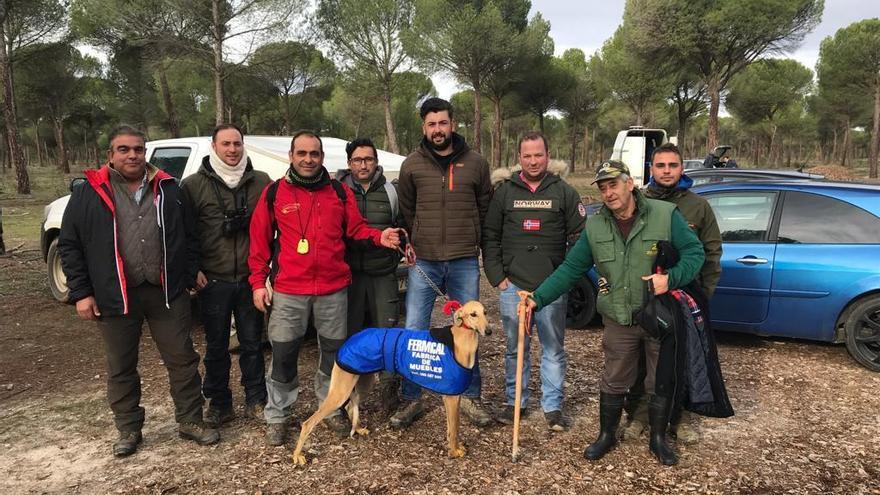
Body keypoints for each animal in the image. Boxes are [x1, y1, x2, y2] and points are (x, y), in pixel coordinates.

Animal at [292, 300, 492, 466]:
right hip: (340, 391)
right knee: (308, 423)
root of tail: (349, 340)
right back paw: (297, 456)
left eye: (485, 312)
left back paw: (358, 429)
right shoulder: (450, 398)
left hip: (363, 382)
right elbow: (454, 429)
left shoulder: (454, 397)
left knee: (350, 406)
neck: (458, 341)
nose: (489, 331)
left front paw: (455, 448)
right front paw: (454, 451)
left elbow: (453, 427)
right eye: (473, 314)